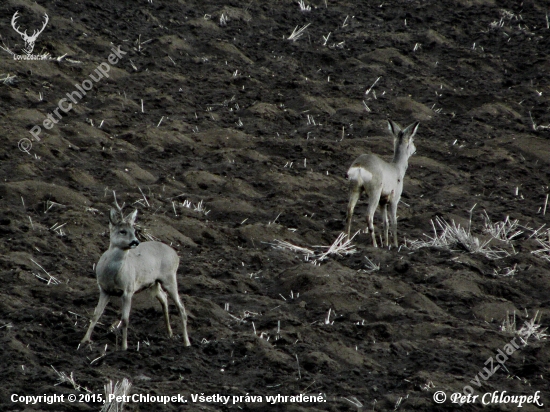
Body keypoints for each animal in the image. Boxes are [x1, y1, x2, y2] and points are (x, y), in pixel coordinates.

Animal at [80, 203, 192, 350]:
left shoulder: (128, 290)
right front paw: (84, 340)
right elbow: (95, 314)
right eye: (122, 231)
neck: (112, 274)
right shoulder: (104, 289)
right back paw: (169, 333)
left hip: (170, 277)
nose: (135, 241)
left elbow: (125, 320)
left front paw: (124, 347)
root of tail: (176, 254)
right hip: (153, 283)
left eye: (134, 230)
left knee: (181, 307)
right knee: (164, 297)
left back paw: (186, 342)